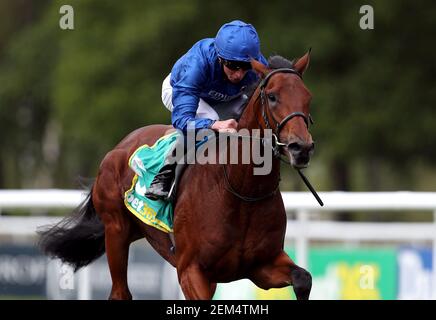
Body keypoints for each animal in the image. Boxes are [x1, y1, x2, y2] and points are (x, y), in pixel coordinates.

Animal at [39, 50, 316, 300]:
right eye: (272, 96)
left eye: (308, 97)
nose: (301, 148)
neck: (242, 191)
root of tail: (120, 145)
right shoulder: (190, 271)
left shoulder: (261, 266)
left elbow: (303, 278)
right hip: (115, 231)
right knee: (120, 293)